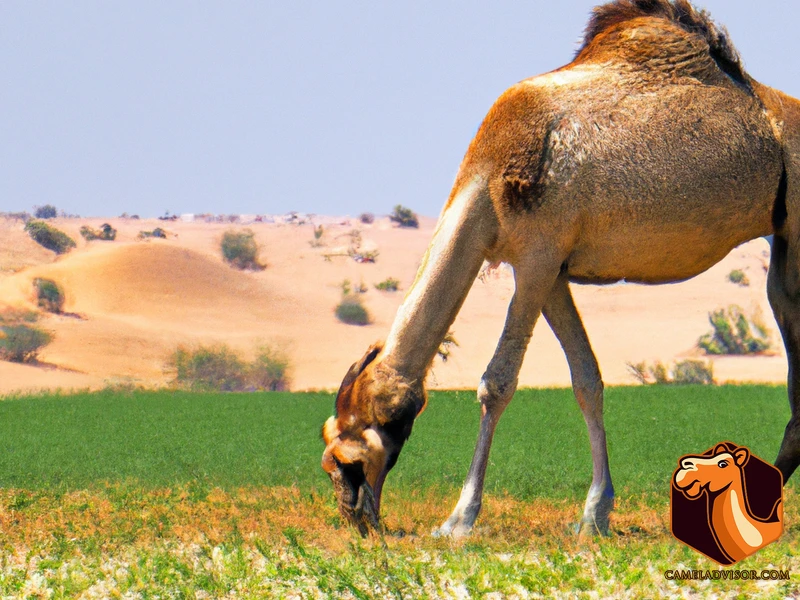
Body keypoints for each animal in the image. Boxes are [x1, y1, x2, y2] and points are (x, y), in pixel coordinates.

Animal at [322, 0, 800, 536]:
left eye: (345, 459)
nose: (355, 518)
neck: (491, 181)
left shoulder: (536, 257)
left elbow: (497, 383)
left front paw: (459, 519)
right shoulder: (551, 271)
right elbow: (586, 380)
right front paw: (594, 514)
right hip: (783, 239)